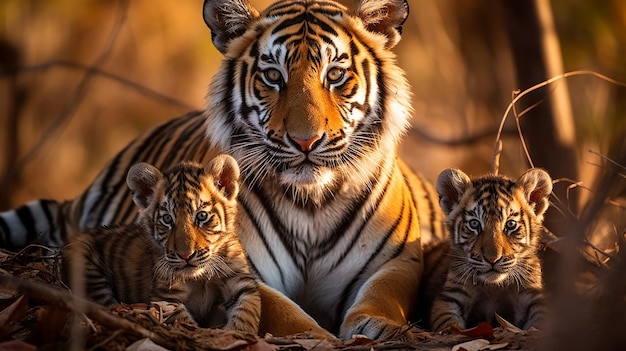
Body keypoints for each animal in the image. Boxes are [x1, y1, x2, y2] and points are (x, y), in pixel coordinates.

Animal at [61, 155, 260, 334]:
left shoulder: (242, 283)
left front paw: (237, 332)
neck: (200, 277)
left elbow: (246, 313)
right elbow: (181, 320)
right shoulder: (165, 296)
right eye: (167, 219)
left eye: (202, 216)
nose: (186, 255)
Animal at [426, 168, 548, 332]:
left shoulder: (532, 295)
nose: (492, 259)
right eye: (474, 224)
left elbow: (541, 320)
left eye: (510, 225)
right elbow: (449, 324)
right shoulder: (451, 296)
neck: (492, 286)